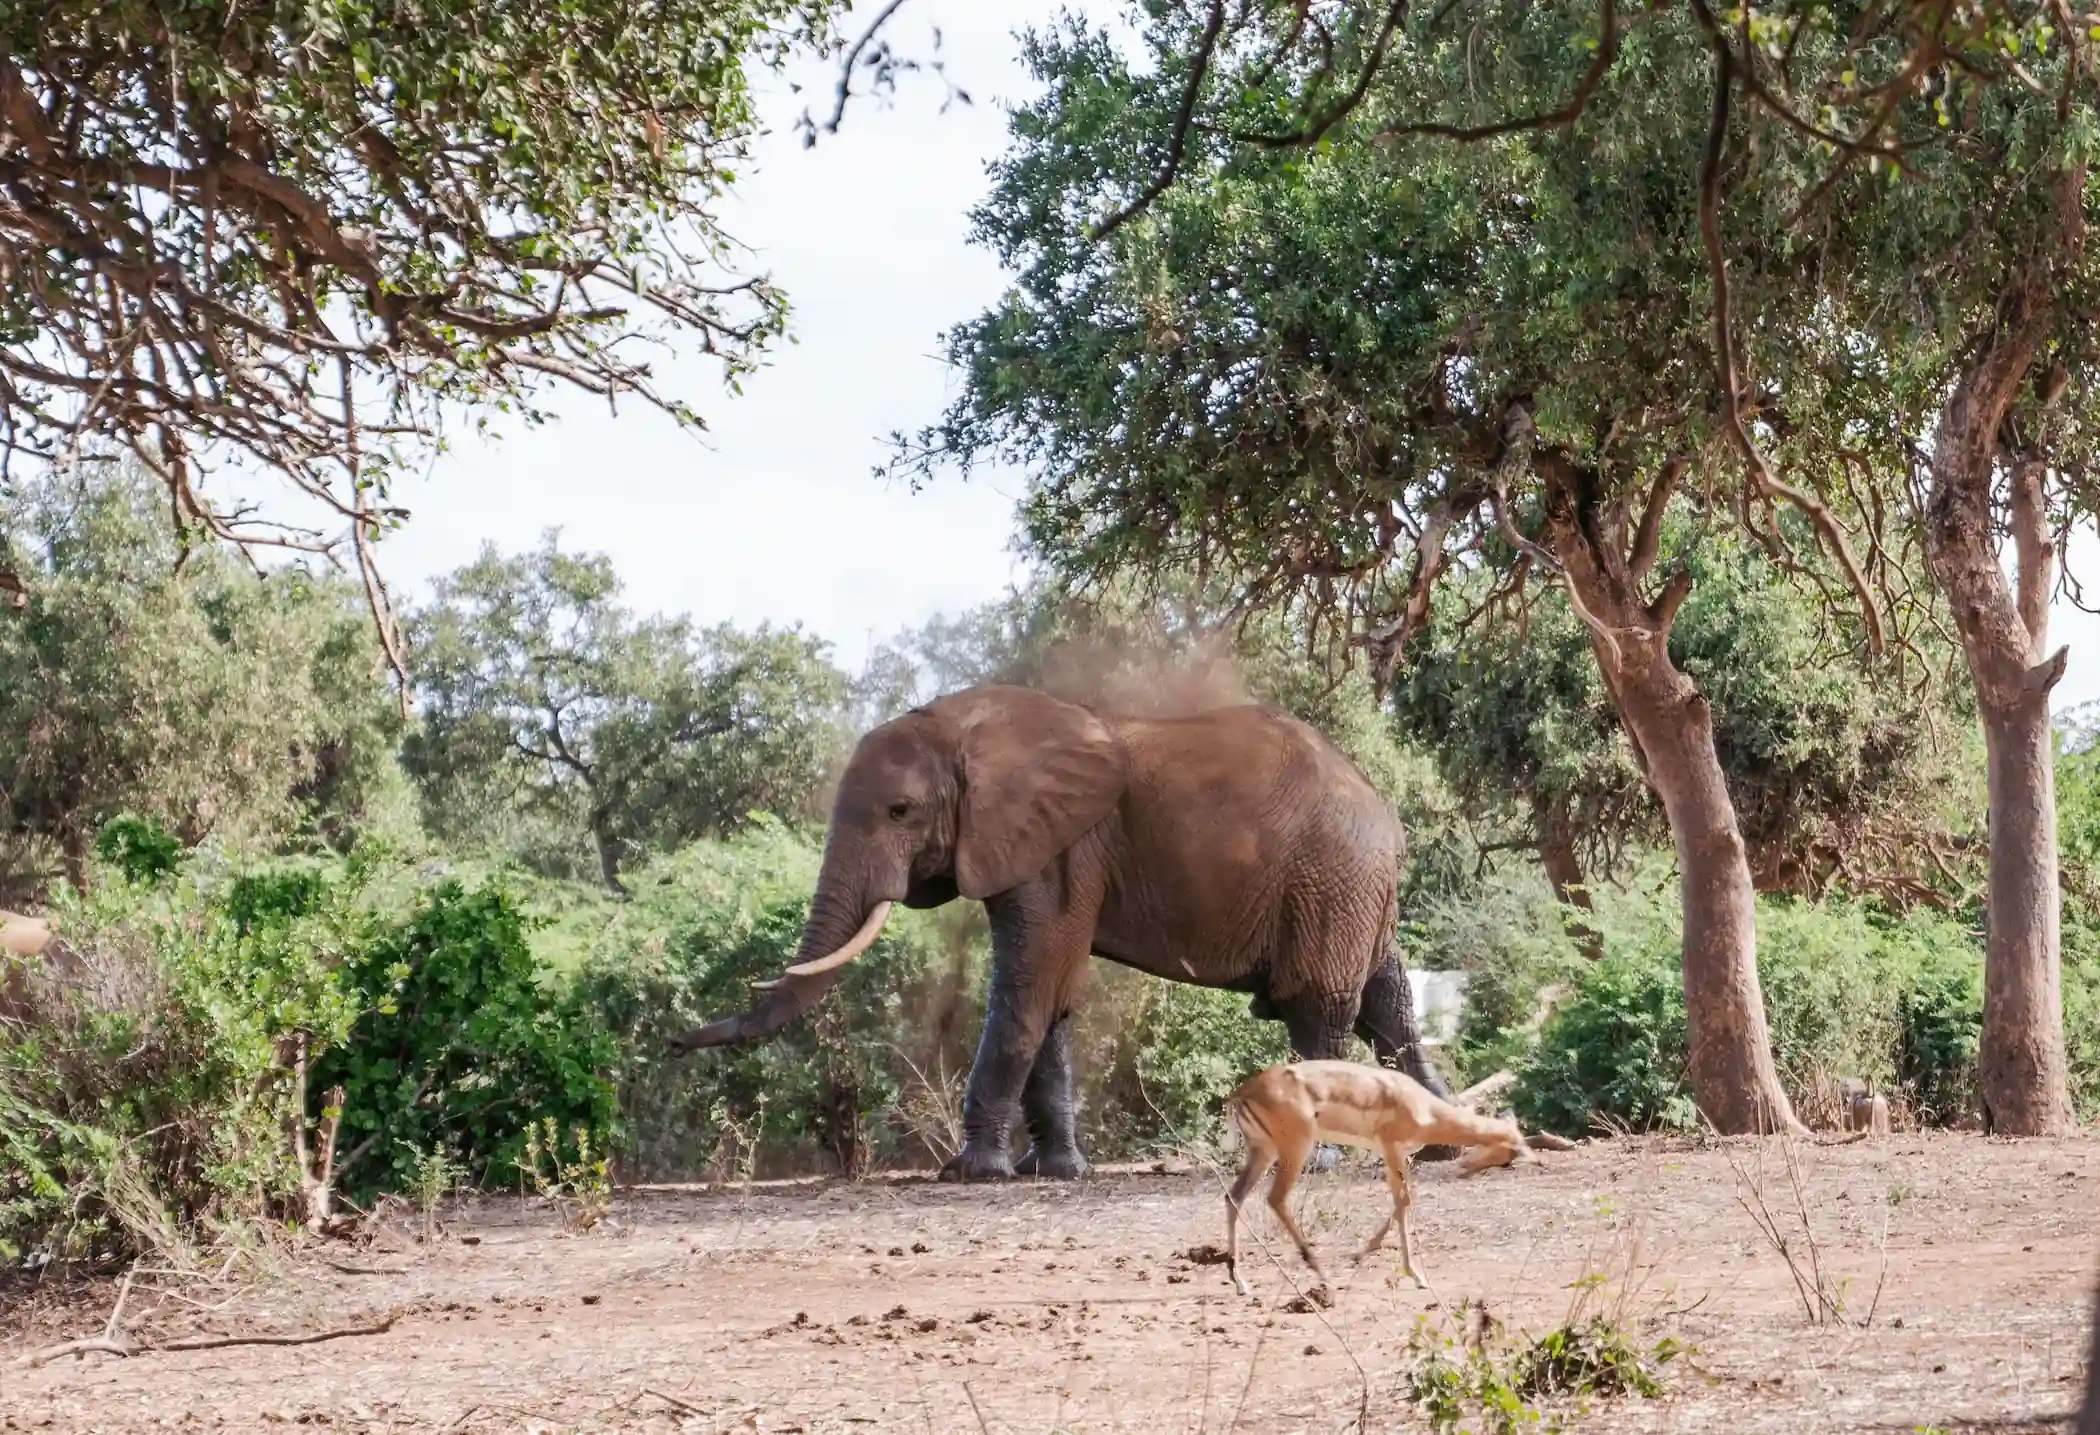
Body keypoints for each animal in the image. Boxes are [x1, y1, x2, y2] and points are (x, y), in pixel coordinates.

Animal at [668, 683, 1451, 1180]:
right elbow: (1051, 997)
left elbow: (1030, 986)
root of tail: (1386, 811)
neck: (967, 725)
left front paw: (972, 1173)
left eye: (899, 811)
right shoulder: (1029, 849)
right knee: (1388, 1004)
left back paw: (1322, 1157)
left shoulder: (1063, 850)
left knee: (1318, 1006)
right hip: (1355, 889)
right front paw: (1054, 1171)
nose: (673, 1043)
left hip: (1331, 880)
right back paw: (1439, 1151)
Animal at [1222, 1059, 1567, 1297]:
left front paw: (1364, 1254)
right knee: (1275, 1198)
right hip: (1295, 1149)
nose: (1465, 1167)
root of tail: (1244, 1091)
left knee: (1234, 1196)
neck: (1424, 1107)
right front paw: (1416, 1276)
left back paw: (1241, 1283)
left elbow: (1402, 1199)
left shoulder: (1394, 1155)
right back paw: (1321, 1273)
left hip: (1263, 1151)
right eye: (1510, 1152)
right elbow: (1405, 1199)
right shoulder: (1392, 1148)